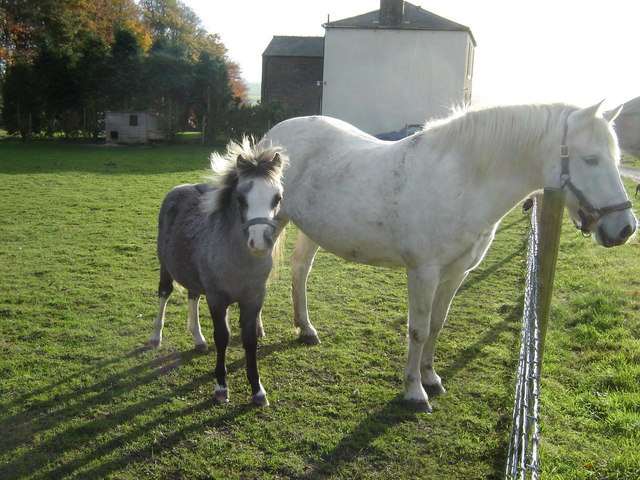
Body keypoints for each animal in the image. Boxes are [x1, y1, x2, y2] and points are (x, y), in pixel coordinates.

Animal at [150, 138, 284, 404]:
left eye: (277, 198)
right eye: (241, 198)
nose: (259, 243)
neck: (238, 261)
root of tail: (180, 188)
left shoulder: (254, 298)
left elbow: (250, 339)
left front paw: (257, 389)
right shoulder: (217, 298)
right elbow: (223, 337)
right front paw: (221, 386)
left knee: (192, 295)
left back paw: (198, 339)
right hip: (166, 267)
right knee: (164, 293)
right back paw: (156, 337)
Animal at [264, 101, 636, 408]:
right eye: (590, 159)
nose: (625, 228)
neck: (462, 182)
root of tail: (275, 136)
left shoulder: (457, 273)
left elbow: (437, 325)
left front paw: (431, 378)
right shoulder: (423, 272)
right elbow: (418, 329)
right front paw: (414, 391)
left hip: (312, 229)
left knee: (300, 269)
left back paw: (306, 329)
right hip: (273, 223)